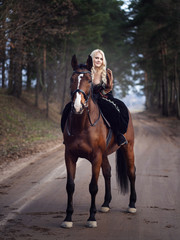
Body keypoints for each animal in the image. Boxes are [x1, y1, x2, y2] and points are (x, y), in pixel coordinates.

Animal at [60, 54, 136, 229]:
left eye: (89, 80)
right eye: (72, 78)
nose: (77, 106)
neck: (81, 125)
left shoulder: (96, 157)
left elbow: (93, 187)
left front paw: (91, 218)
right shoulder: (70, 156)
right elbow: (70, 186)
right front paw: (68, 218)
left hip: (128, 148)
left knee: (131, 172)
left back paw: (132, 205)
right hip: (105, 154)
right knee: (108, 172)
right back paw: (106, 204)